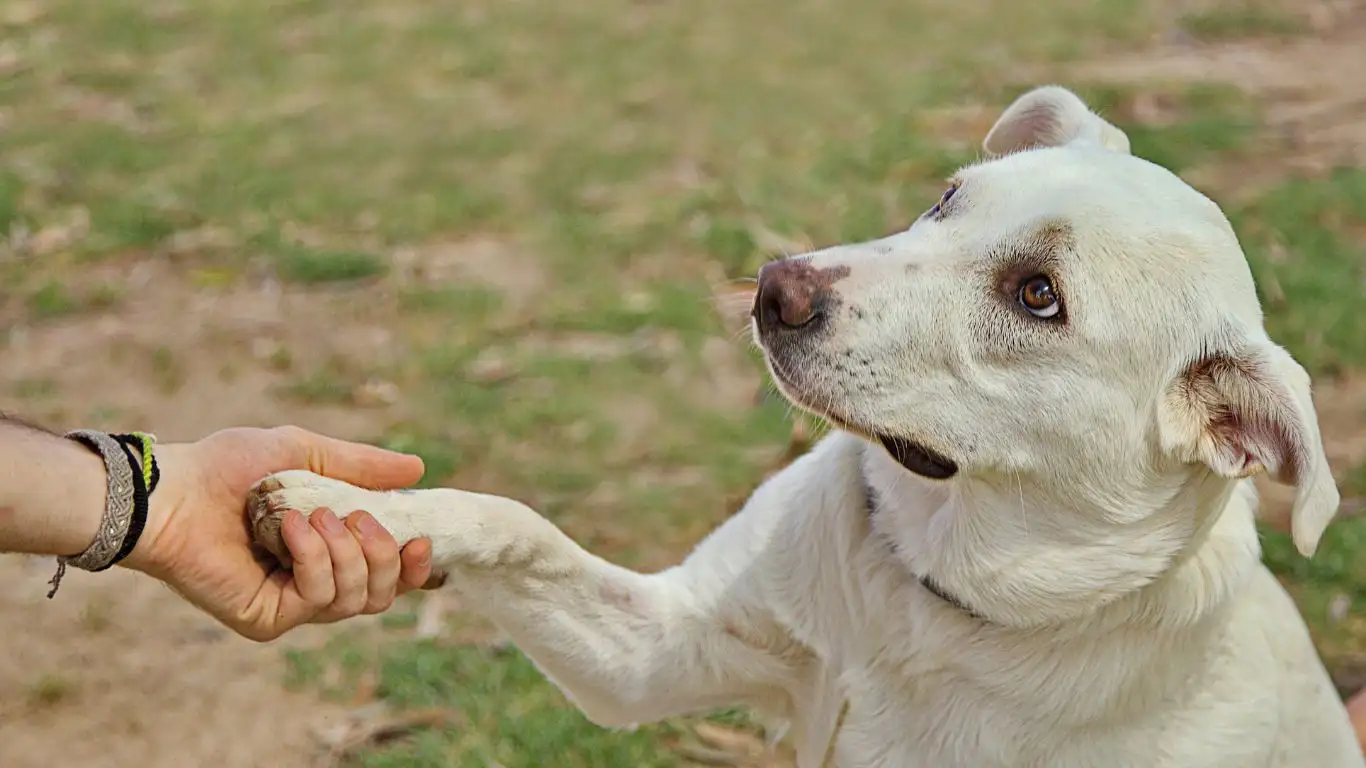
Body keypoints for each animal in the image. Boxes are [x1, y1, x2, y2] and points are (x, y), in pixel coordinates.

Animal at [248, 86, 1366, 759]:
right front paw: (346, 507)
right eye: (947, 199)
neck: (931, 597)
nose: (774, 285)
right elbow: (513, 521)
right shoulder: (655, 650)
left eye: (1037, 295)